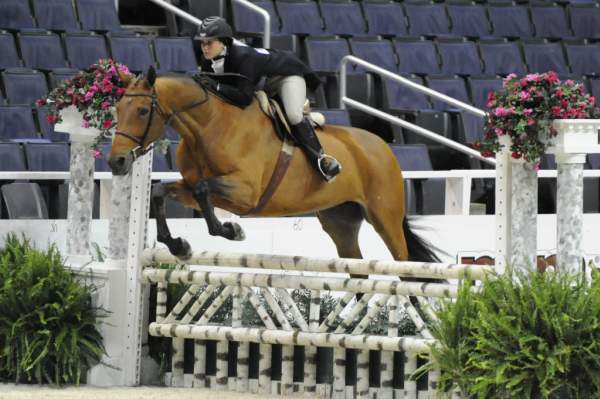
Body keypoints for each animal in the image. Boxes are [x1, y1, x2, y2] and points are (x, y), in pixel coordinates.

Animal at [108, 68, 438, 276]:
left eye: (142, 111)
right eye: (117, 110)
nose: (117, 163)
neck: (209, 126)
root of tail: (383, 146)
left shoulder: (245, 193)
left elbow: (203, 191)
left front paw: (232, 231)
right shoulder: (193, 187)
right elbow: (161, 190)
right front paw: (179, 246)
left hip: (384, 218)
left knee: (406, 268)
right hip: (340, 221)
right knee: (357, 270)